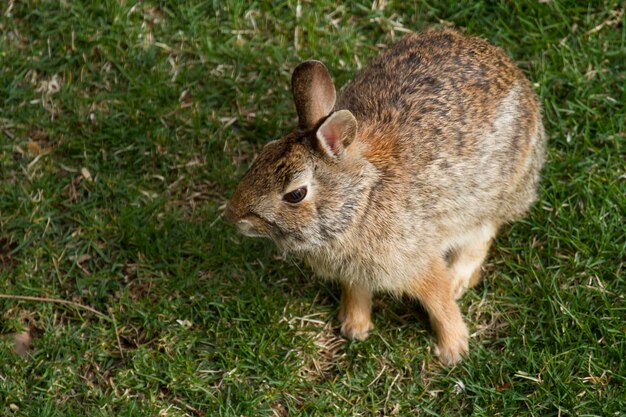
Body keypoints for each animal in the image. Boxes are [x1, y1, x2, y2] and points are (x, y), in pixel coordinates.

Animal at [224, 28, 540, 364]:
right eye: (264, 153)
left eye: (296, 194)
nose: (234, 216)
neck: (360, 202)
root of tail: (515, 75)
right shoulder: (354, 272)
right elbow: (357, 293)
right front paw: (354, 328)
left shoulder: (415, 260)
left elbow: (439, 300)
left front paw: (453, 349)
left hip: (491, 197)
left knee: (482, 235)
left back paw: (459, 280)